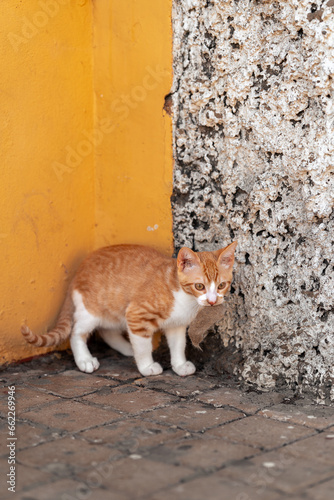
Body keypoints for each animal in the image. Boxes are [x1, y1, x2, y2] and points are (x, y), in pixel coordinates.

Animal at [21, 241, 237, 376]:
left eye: (221, 285)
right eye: (199, 286)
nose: (212, 301)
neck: (185, 299)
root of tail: (78, 271)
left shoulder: (176, 324)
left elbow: (178, 345)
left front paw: (179, 365)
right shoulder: (137, 314)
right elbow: (143, 346)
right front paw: (147, 366)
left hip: (115, 311)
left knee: (107, 330)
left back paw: (126, 347)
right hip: (91, 310)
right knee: (77, 332)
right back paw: (85, 359)